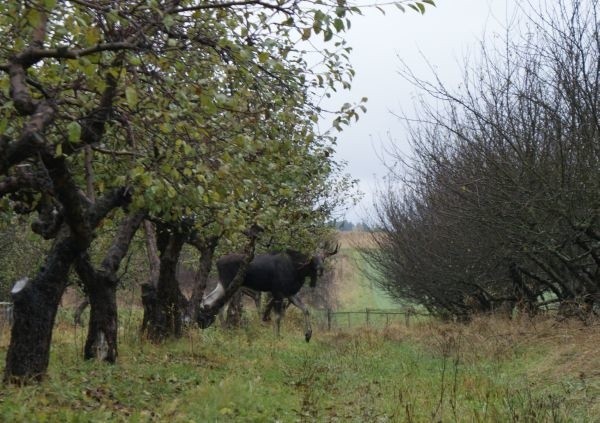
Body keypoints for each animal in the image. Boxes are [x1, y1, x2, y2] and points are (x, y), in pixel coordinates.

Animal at [200, 245, 338, 342]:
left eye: (323, 258)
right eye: (313, 259)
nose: (321, 269)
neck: (298, 271)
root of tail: (217, 262)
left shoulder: (290, 294)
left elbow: (306, 309)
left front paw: (308, 334)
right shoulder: (278, 292)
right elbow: (277, 317)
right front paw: (277, 336)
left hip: (223, 284)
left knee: (208, 301)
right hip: (229, 285)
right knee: (219, 306)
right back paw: (222, 329)